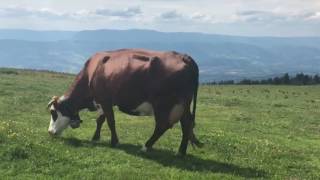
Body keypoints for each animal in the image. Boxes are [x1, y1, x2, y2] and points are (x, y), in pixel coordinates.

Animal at [47, 48, 202, 155]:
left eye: (53, 113)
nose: (50, 132)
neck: (92, 71)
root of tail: (185, 57)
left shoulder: (105, 100)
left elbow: (110, 121)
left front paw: (114, 142)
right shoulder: (102, 102)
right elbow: (100, 120)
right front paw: (96, 137)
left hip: (164, 104)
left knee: (162, 125)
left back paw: (146, 146)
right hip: (183, 104)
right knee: (186, 123)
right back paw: (180, 152)